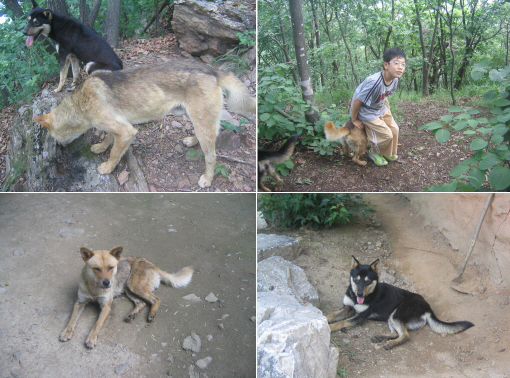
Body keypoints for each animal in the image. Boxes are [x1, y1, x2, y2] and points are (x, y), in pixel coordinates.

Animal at [31, 60, 255, 189]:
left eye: (53, 139)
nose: (60, 148)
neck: (80, 104)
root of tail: (213, 71)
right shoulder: (117, 125)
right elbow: (108, 138)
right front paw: (100, 147)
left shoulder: (126, 131)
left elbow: (114, 154)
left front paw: (107, 168)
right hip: (193, 117)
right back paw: (192, 141)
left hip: (202, 123)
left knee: (212, 155)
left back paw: (207, 180)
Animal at [59, 248, 193, 348]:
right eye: (96, 269)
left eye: (111, 267)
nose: (107, 283)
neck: (94, 288)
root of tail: (148, 262)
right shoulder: (79, 303)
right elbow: (72, 319)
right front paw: (66, 332)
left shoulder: (106, 307)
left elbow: (97, 324)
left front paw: (91, 338)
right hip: (129, 290)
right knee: (141, 303)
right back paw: (132, 315)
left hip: (134, 286)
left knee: (156, 299)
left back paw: (151, 314)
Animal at [326, 255, 474, 350]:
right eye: (356, 280)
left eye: (367, 281)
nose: (359, 294)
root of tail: (428, 308)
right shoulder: (347, 308)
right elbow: (331, 315)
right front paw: (324, 318)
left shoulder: (360, 317)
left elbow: (341, 322)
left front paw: (330, 328)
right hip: (391, 317)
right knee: (396, 333)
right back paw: (380, 337)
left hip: (396, 314)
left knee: (405, 335)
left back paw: (390, 344)